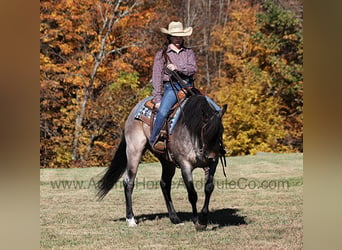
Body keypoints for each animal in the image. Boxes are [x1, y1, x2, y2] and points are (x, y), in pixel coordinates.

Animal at [96, 92, 227, 230]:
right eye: (205, 130)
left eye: (221, 130)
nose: (212, 157)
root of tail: (133, 112)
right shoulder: (185, 165)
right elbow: (192, 194)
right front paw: (197, 221)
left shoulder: (212, 165)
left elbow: (208, 188)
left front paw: (203, 219)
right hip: (134, 151)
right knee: (128, 182)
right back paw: (131, 219)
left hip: (167, 161)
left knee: (164, 183)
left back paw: (174, 218)